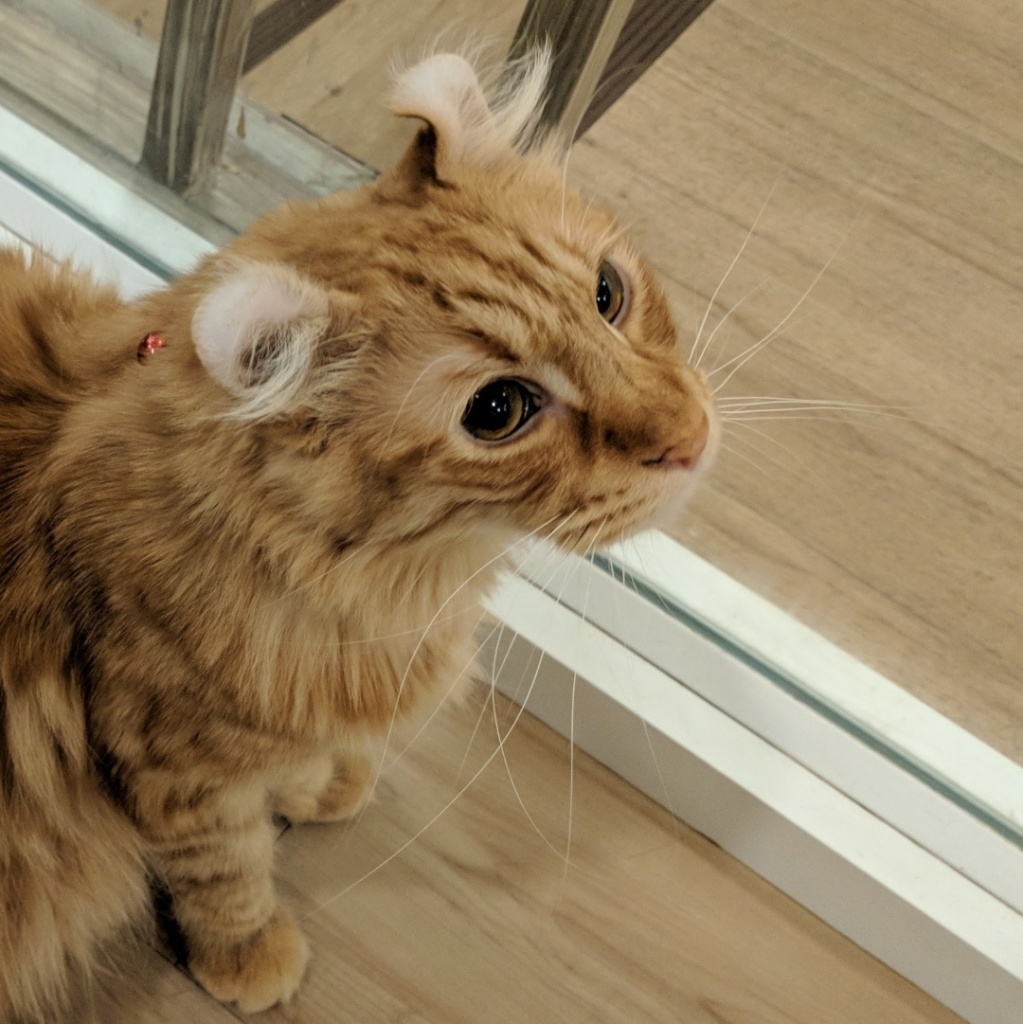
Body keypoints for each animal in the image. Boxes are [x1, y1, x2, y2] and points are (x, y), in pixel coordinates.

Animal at [0, 54, 720, 1015]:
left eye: (608, 294)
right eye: (498, 410)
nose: (689, 437)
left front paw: (316, 784)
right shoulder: (170, 763)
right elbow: (225, 870)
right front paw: (248, 954)